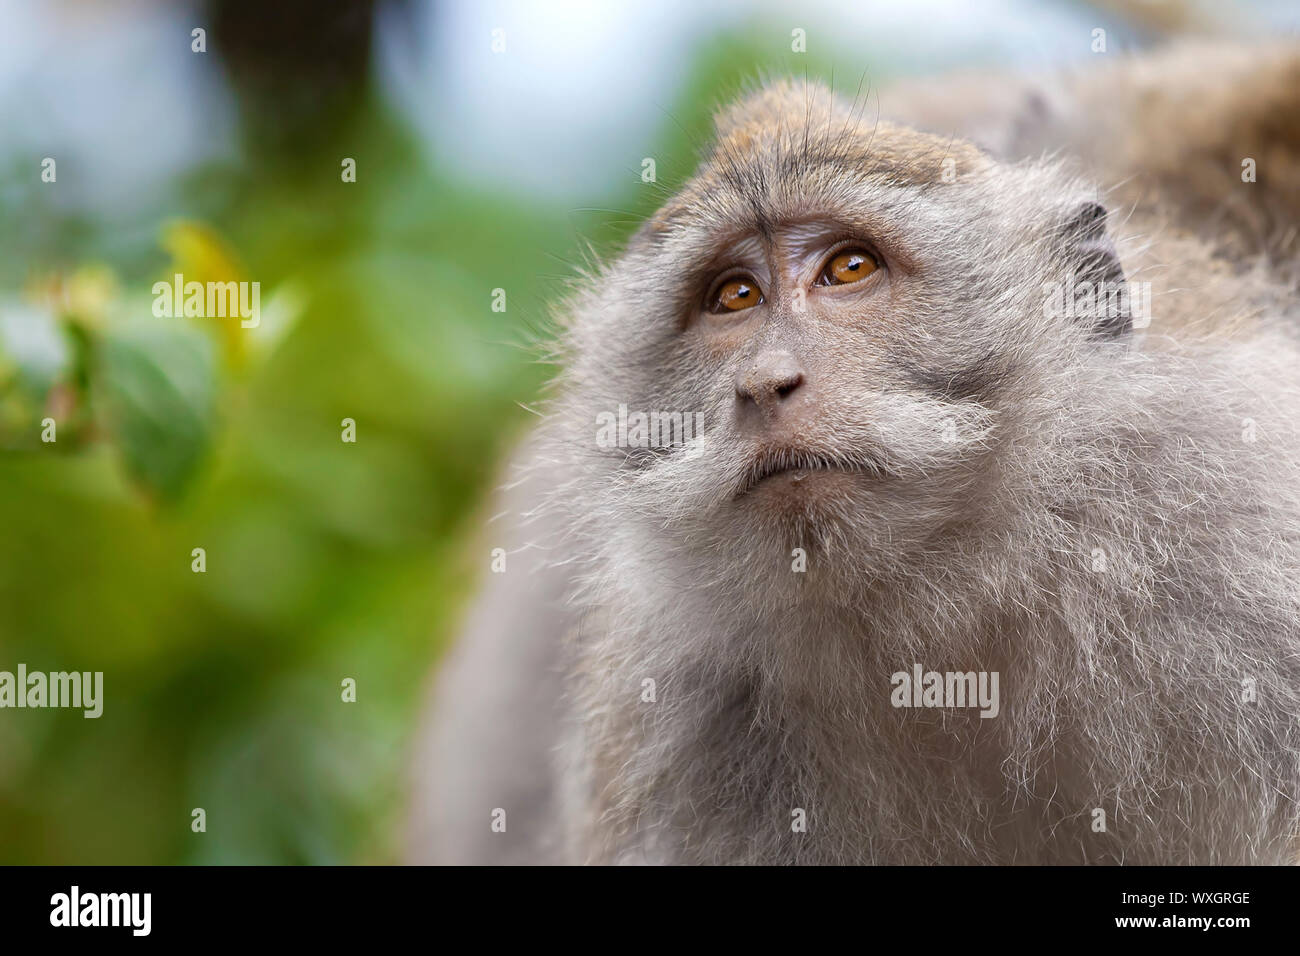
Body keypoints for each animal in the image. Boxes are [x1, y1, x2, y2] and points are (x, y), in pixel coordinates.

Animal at [408, 43, 1300, 865]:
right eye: (734, 296)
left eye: (849, 268)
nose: (765, 384)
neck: (953, 610)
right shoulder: (680, 718)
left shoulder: (1241, 547)